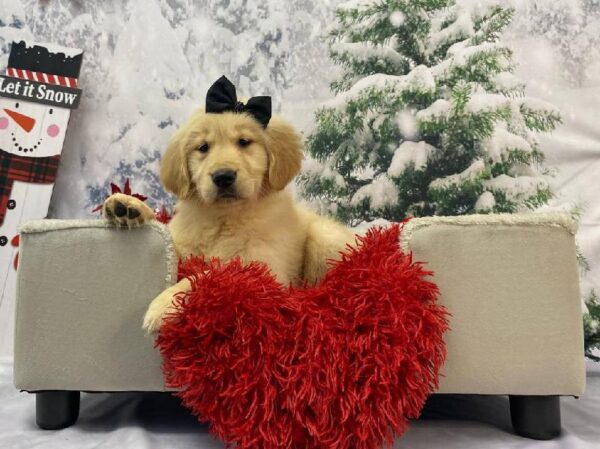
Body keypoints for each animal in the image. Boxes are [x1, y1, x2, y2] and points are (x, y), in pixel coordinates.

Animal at [103, 110, 354, 330]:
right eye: (203, 147)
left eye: (244, 142)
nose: (223, 176)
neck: (224, 216)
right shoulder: (183, 243)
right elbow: (170, 236)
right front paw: (128, 206)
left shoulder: (264, 268)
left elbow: (210, 274)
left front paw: (165, 304)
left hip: (324, 237)